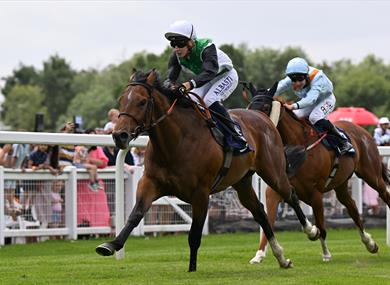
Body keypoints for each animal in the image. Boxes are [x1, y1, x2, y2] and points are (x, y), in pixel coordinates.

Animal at [94, 69, 320, 270]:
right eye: (122, 100)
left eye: (141, 101)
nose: (119, 135)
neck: (176, 142)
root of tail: (262, 117)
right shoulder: (150, 182)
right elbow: (136, 214)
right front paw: (110, 245)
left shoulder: (201, 193)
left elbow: (194, 235)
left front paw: (192, 269)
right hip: (242, 182)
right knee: (261, 213)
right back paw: (281, 257)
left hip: (273, 172)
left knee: (290, 195)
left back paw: (312, 230)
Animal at [245, 83, 390, 262]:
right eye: (250, 105)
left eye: (265, 106)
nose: (253, 123)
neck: (298, 147)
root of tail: (362, 132)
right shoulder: (275, 191)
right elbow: (268, 221)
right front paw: (259, 255)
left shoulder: (315, 193)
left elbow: (321, 226)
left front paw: (326, 254)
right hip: (341, 184)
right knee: (352, 208)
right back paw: (369, 243)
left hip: (372, 175)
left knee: (384, 193)